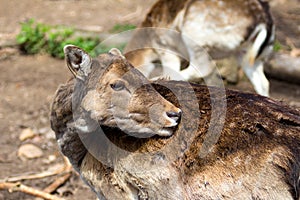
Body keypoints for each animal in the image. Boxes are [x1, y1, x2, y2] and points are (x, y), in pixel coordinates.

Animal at [123, 0, 274, 97]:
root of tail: (263, 21)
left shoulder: (165, 46)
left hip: (194, 35)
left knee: (203, 67)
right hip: (252, 54)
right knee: (263, 82)